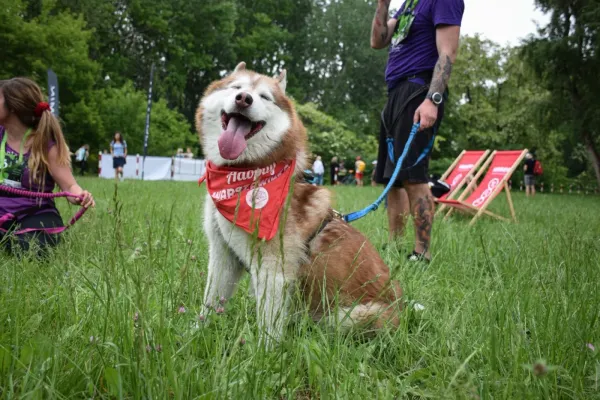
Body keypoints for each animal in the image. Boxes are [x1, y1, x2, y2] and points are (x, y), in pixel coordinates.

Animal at [197, 62, 404, 344]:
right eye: (236, 87)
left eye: (264, 97)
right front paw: (192, 336)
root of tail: (403, 311)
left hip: (350, 315)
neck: (248, 173)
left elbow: (268, 330)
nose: (243, 99)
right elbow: (208, 305)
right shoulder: (223, 255)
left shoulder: (273, 270)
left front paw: (262, 353)